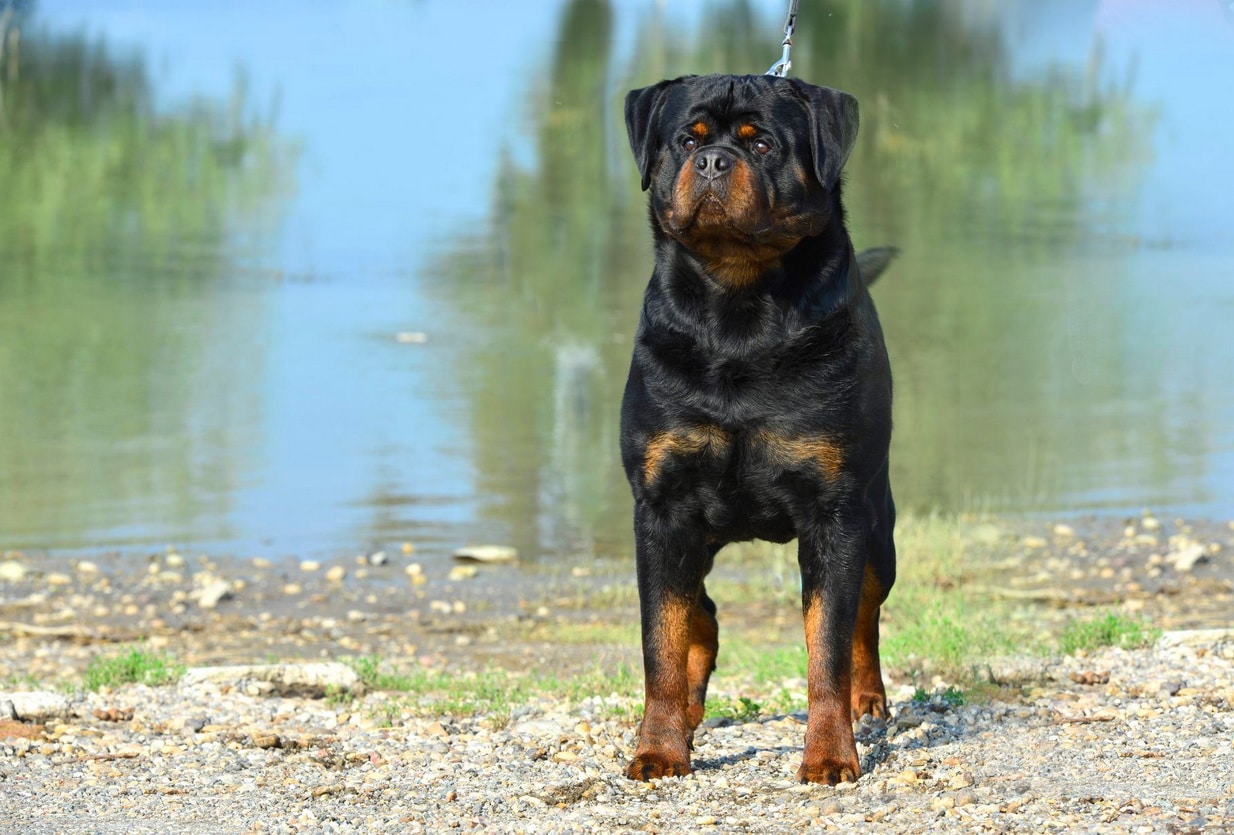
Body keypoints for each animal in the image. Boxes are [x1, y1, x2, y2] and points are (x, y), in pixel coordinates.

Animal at [617, 74, 898, 784]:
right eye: (687, 140)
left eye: (763, 143)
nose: (715, 161)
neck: (737, 310)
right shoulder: (661, 508)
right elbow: (660, 641)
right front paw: (658, 749)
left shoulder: (835, 513)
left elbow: (827, 644)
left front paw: (829, 755)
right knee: (699, 613)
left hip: (877, 527)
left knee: (865, 613)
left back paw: (868, 700)